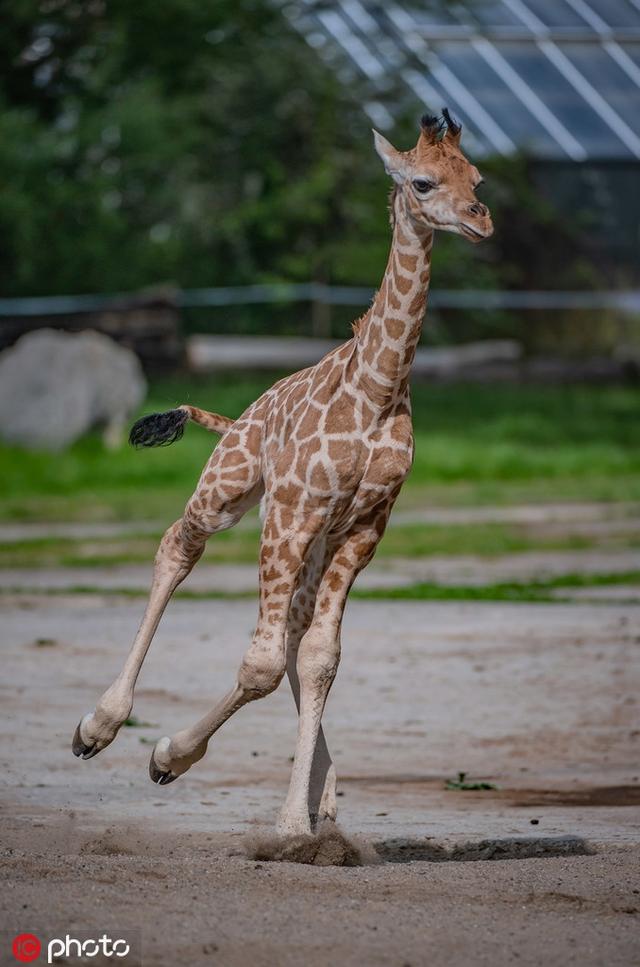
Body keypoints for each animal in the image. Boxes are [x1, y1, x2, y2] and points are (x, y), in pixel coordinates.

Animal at [74, 109, 496, 836]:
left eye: (476, 177)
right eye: (421, 181)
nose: (481, 220)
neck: (378, 391)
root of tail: (237, 417)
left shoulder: (363, 527)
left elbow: (317, 656)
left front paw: (299, 824)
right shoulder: (293, 515)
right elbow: (263, 662)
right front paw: (168, 755)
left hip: (310, 536)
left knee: (296, 632)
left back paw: (323, 800)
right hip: (229, 487)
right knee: (176, 548)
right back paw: (99, 725)